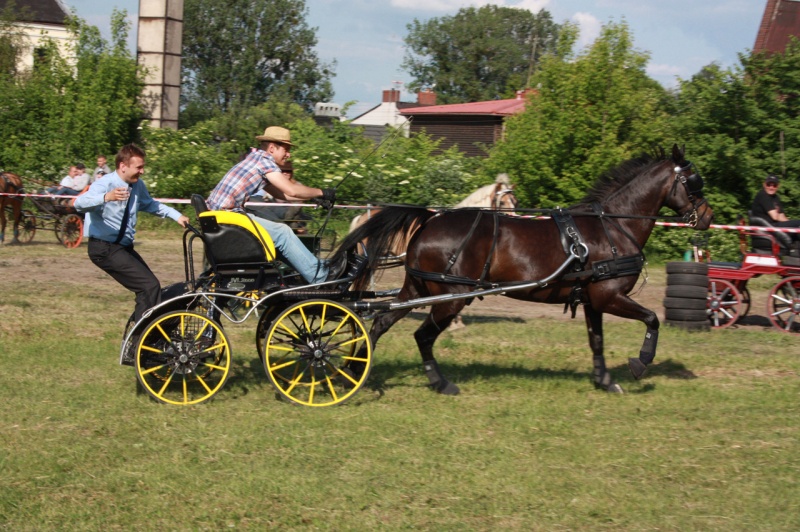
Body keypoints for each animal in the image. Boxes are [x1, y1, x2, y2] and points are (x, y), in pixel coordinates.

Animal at [331, 145, 713, 395]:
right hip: (451, 297)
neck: (613, 227)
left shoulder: (594, 300)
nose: (708, 216)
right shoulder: (610, 296)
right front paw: (640, 362)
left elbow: (597, 341)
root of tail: (430, 220)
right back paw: (439, 383)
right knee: (422, 336)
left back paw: (354, 369)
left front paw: (604, 380)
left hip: (417, 289)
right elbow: (652, 319)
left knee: (380, 322)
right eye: (694, 181)